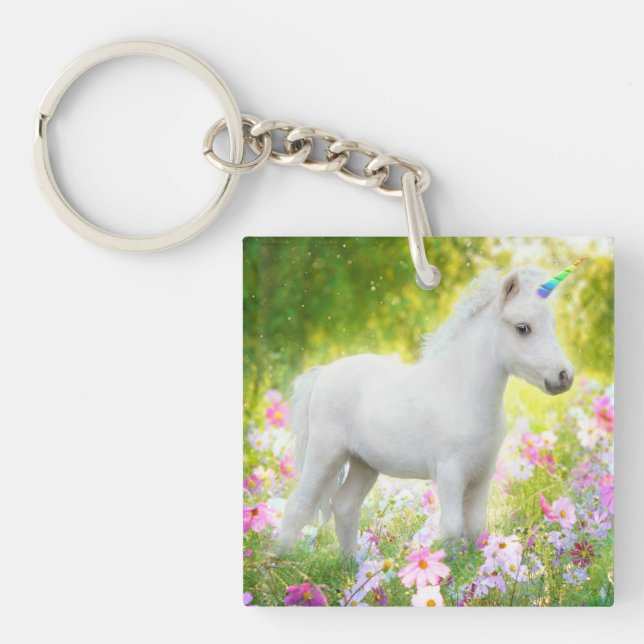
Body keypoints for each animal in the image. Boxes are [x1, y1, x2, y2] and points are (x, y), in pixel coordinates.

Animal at [277, 264, 577, 556]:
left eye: (551, 324)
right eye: (522, 328)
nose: (564, 376)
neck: (463, 393)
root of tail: (323, 373)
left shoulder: (483, 472)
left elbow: (476, 527)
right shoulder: (450, 471)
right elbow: (452, 527)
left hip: (364, 464)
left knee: (344, 506)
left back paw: (353, 566)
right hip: (325, 454)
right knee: (297, 507)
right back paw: (280, 562)